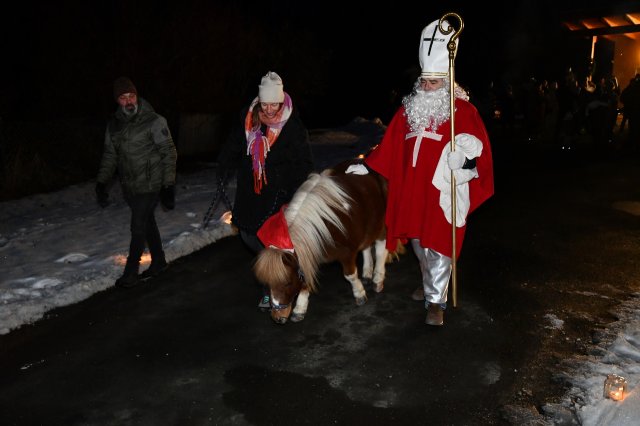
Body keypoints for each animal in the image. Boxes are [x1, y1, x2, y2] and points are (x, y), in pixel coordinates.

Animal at [254, 159, 384, 322]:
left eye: (287, 282)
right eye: (267, 284)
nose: (278, 317)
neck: (325, 226)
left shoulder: (347, 253)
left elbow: (350, 275)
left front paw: (359, 294)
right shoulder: (309, 253)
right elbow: (306, 278)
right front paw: (299, 309)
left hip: (378, 223)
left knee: (381, 246)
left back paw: (378, 278)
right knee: (366, 246)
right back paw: (367, 272)